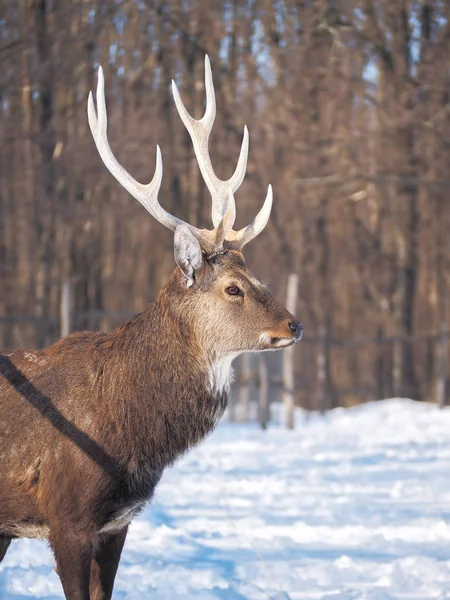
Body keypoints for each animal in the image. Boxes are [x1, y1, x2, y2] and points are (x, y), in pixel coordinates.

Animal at [0, 56, 302, 600]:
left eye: (258, 277)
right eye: (233, 288)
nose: (295, 324)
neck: (129, 436)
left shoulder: (117, 524)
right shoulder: (66, 520)